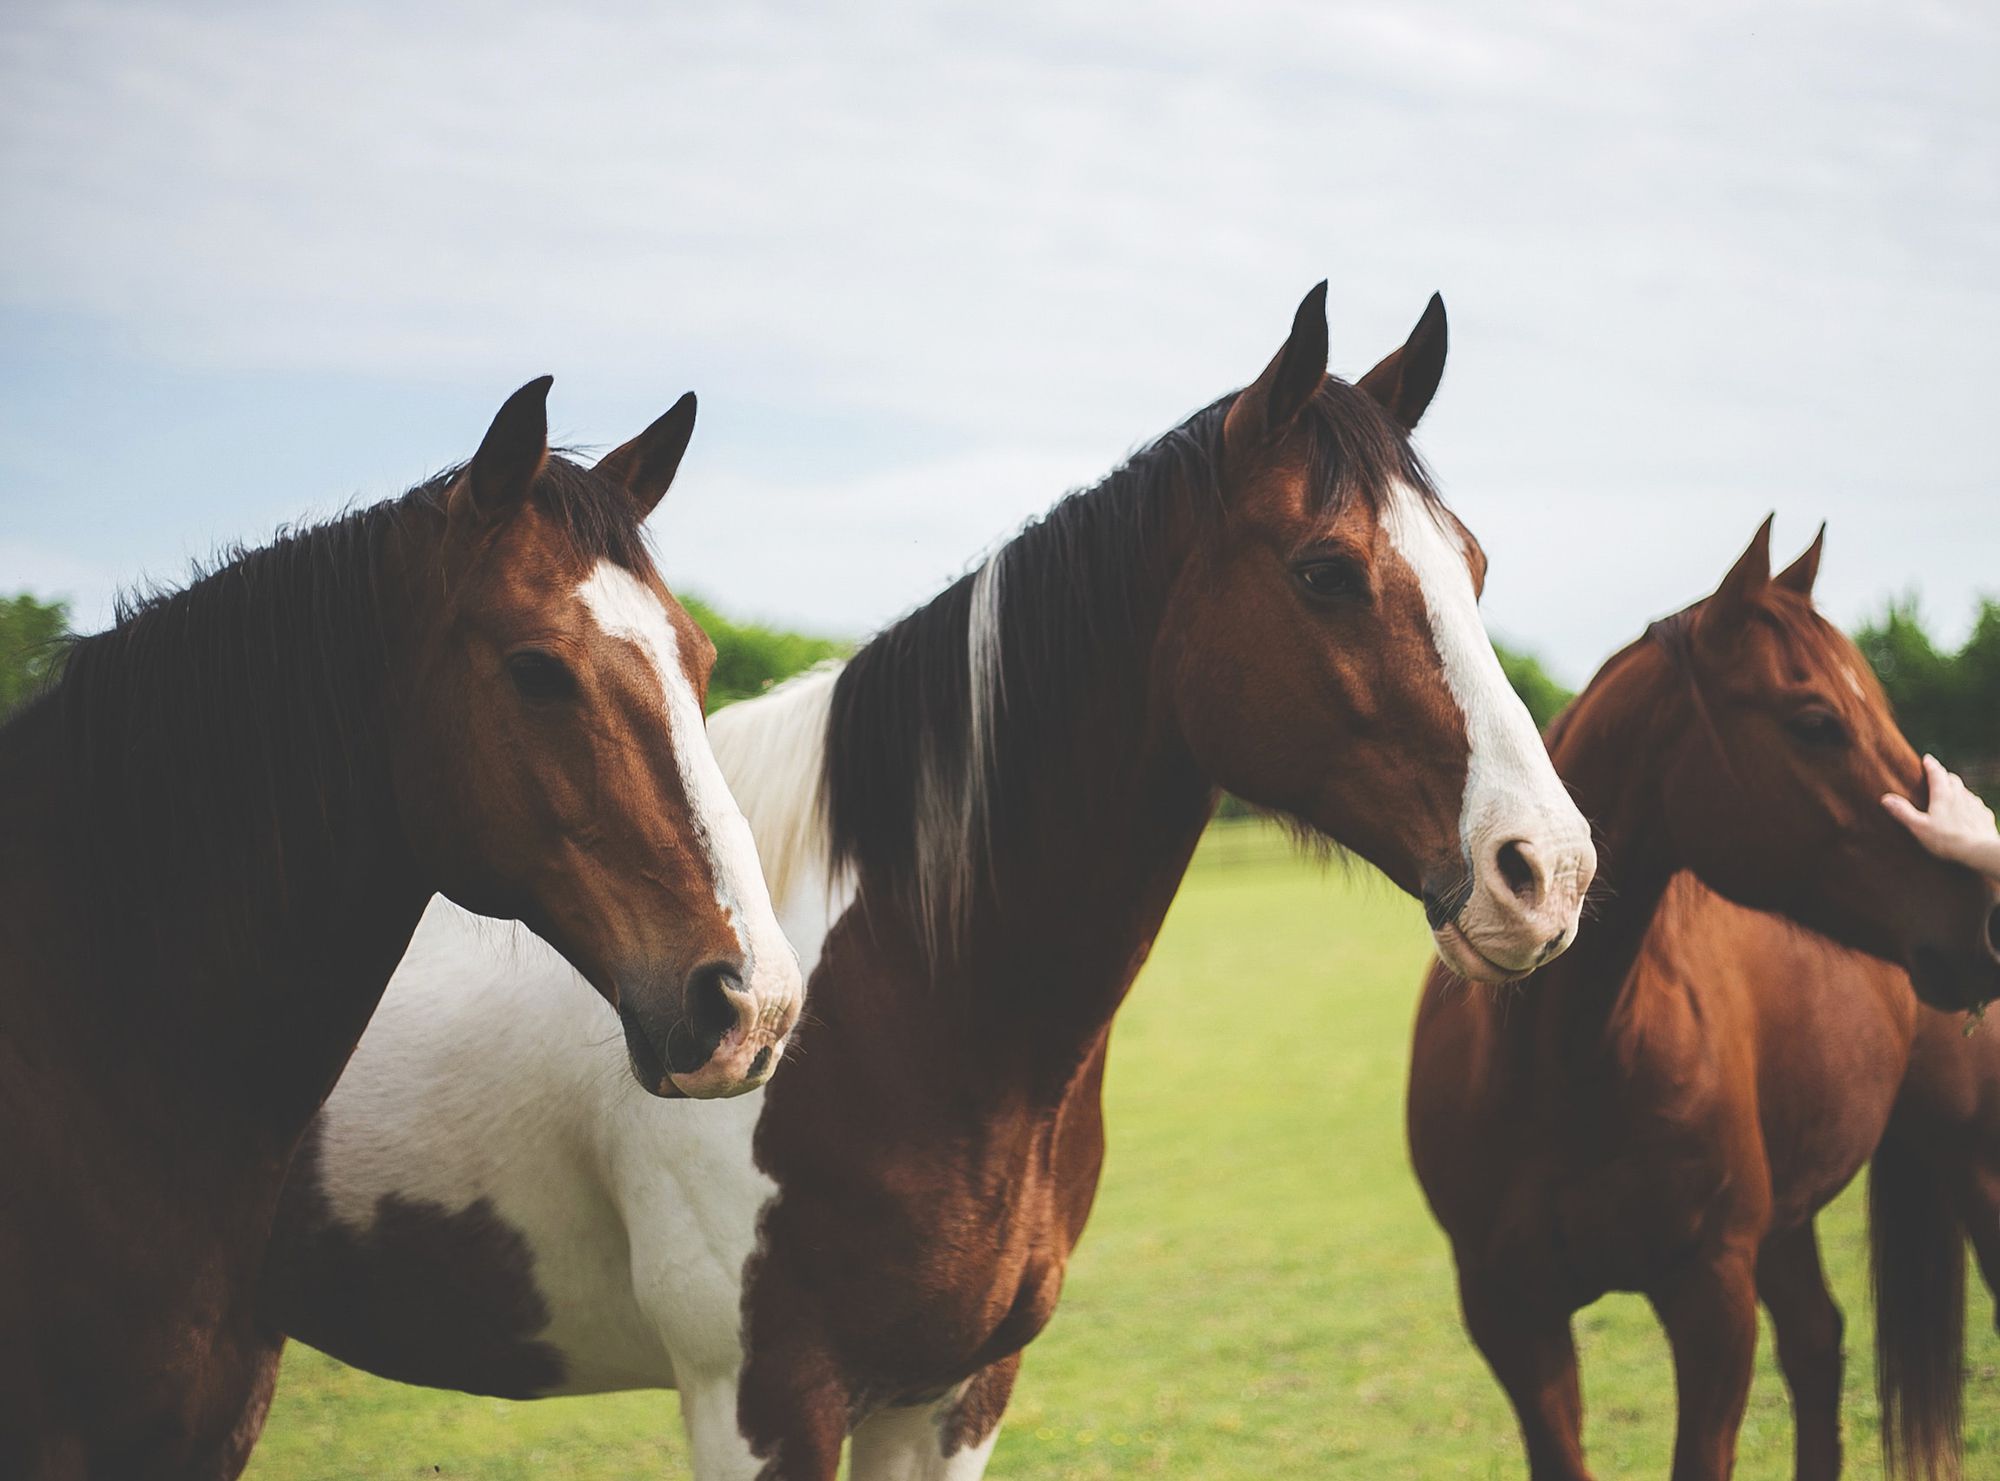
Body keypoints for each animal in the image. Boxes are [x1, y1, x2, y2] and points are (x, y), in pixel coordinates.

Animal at [246, 284, 1592, 1472]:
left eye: (1471, 564)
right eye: (1324, 570)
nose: (1546, 869)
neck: (903, 997)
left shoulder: (952, 1391)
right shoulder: (759, 1398)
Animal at [1408, 520, 2000, 1481]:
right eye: (1815, 721)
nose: (1984, 916)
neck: (1563, 1065)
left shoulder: (1712, 1299)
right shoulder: (1512, 1318)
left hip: (1972, 1165)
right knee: (1818, 1343)